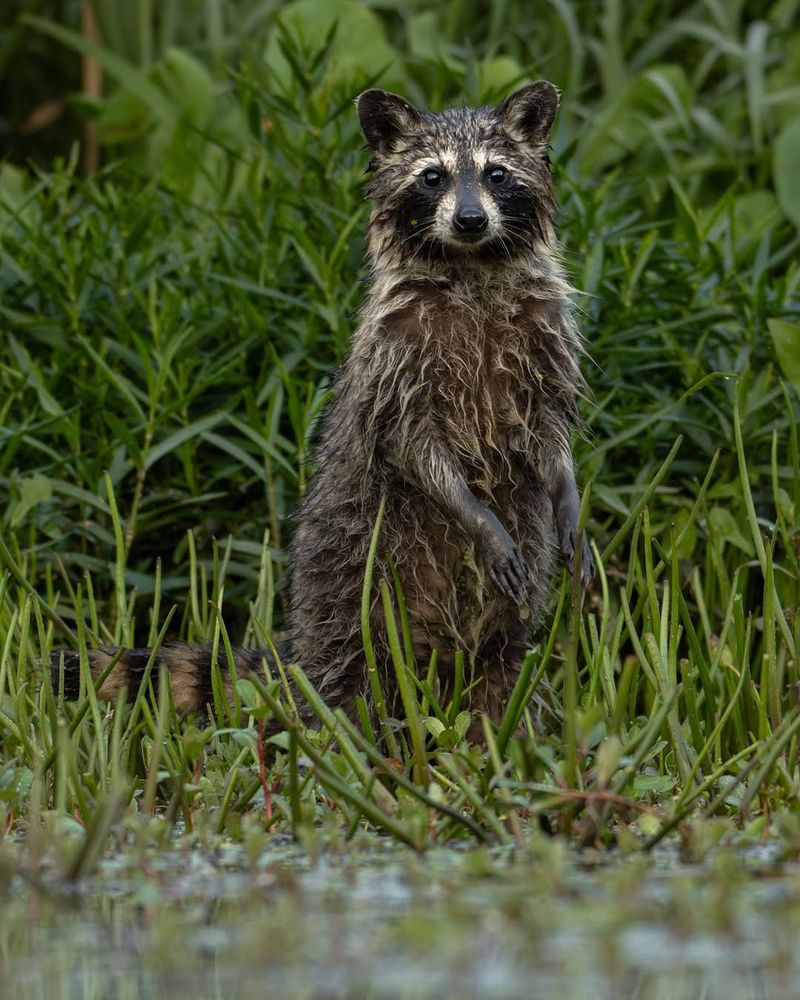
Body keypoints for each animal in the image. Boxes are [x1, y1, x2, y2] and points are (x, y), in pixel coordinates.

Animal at [52, 82, 593, 730]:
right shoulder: (396, 356)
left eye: (497, 173)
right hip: (351, 579)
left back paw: (502, 734)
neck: (469, 266)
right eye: (432, 176)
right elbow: (412, 443)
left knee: (502, 667)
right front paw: (474, 513)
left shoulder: (543, 337)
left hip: (490, 625)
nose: (470, 219)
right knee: (353, 676)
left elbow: (549, 433)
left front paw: (567, 496)